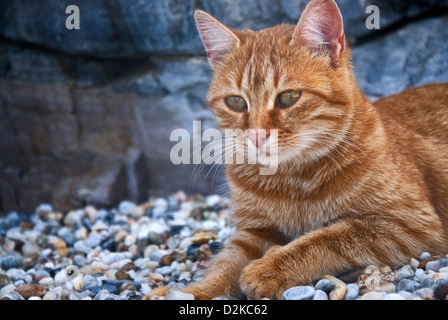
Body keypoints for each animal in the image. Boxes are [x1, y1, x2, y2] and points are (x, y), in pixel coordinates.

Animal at [146, 0, 448, 300]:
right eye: (235, 102)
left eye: (289, 97)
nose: (256, 136)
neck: (289, 179)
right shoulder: (253, 234)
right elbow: (223, 267)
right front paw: (190, 292)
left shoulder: (409, 224)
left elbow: (327, 238)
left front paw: (271, 269)